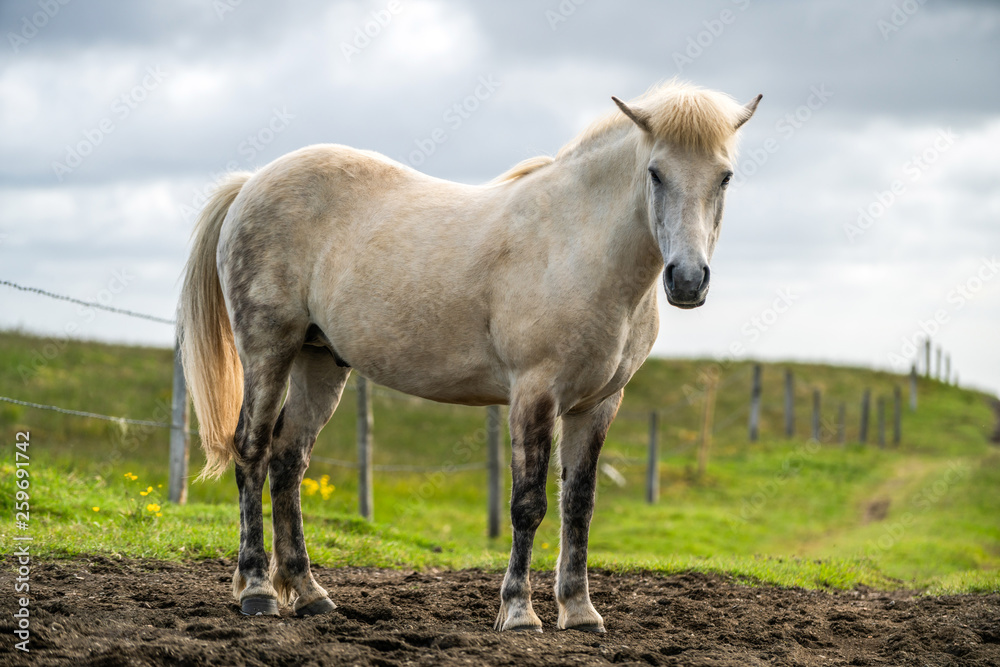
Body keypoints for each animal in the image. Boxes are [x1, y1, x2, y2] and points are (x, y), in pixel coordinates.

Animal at [178, 79, 756, 632]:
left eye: (724, 177)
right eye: (656, 173)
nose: (688, 280)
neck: (578, 247)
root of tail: (252, 183)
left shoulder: (598, 405)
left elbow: (579, 506)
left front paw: (579, 611)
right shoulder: (534, 394)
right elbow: (529, 505)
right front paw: (519, 612)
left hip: (318, 362)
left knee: (287, 461)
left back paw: (309, 594)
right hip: (268, 350)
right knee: (251, 452)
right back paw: (257, 590)